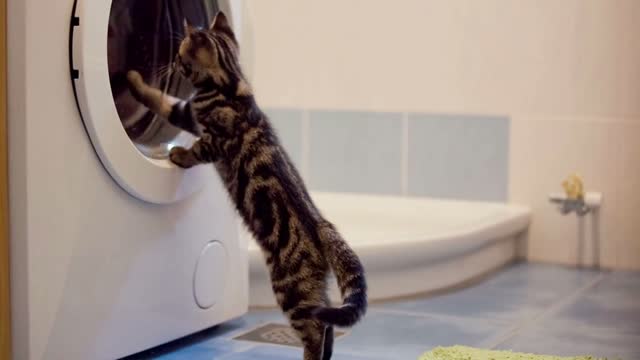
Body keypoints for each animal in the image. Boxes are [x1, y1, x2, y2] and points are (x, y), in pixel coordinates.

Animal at [126, 11, 364, 360]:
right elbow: (163, 99)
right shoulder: (189, 112)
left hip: (291, 289)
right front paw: (135, 80)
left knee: (315, 329)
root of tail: (323, 225)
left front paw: (178, 152)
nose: (170, 64)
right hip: (311, 289)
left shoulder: (211, 139)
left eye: (180, 56)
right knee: (329, 322)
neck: (232, 82)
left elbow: (186, 135)